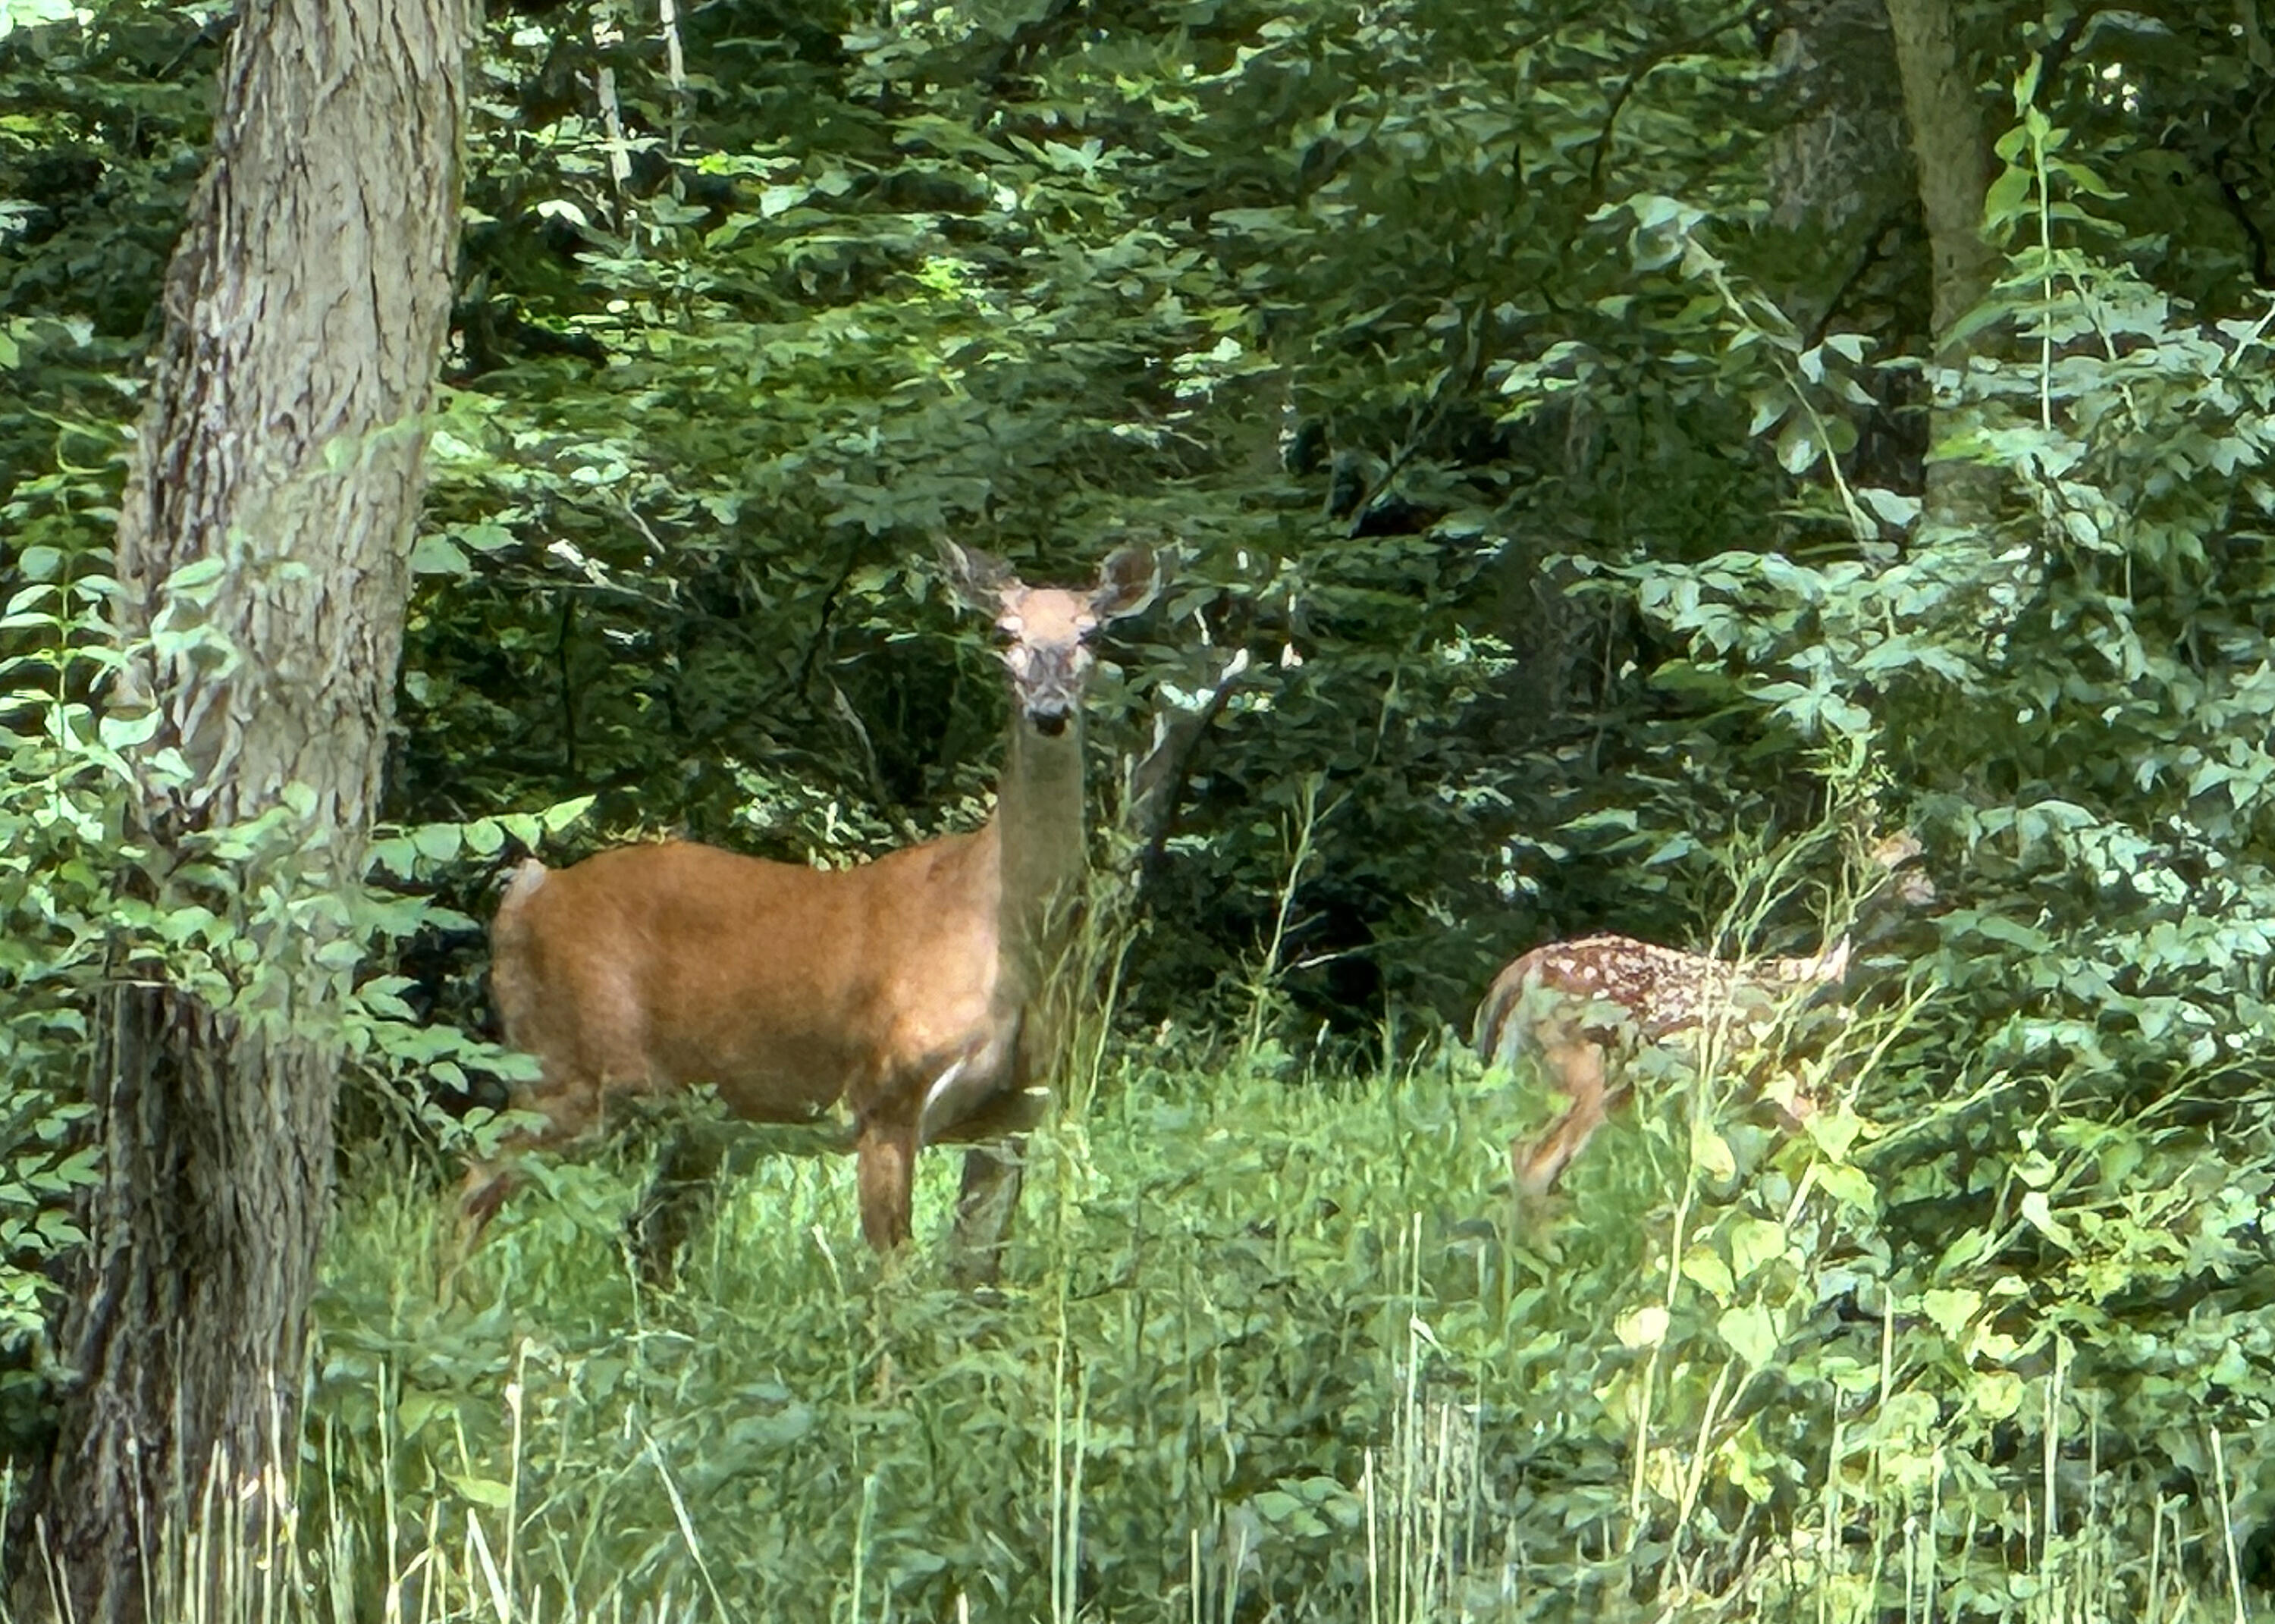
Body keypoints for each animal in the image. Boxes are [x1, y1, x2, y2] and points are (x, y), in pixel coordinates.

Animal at [471, 544, 1165, 1265]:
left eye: (1091, 634)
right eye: (1005, 633)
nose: (1050, 710)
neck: (1003, 938)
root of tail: (527, 894)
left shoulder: (1016, 1115)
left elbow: (973, 1272)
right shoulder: (884, 1093)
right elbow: (897, 1275)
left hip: (698, 1117)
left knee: (645, 1233)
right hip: (565, 1065)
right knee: (476, 1176)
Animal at [1474, 837, 1938, 1192]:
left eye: (1920, 863)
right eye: (1899, 869)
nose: (1937, 895)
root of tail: (1522, 969)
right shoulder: (1767, 1077)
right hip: (1583, 1066)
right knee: (1533, 1160)